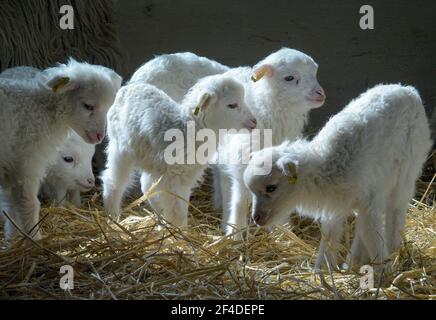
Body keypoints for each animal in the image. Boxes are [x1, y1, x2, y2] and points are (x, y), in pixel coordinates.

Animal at [0, 57, 122, 239]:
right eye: (88, 106)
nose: (100, 137)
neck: (43, 109)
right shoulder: (27, 163)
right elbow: (28, 204)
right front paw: (34, 239)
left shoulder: (11, 170)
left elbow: (10, 208)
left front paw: (12, 238)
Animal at [102, 74, 258, 225]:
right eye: (232, 105)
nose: (254, 122)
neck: (189, 129)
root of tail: (127, 88)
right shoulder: (173, 179)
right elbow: (176, 212)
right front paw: (178, 232)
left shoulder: (184, 178)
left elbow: (181, 209)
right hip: (120, 148)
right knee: (112, 181)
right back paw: (112, 217)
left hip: (152, 162)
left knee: (146, 186)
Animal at [244, 84, 430, 270]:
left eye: (271, 187)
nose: (256, 218)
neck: (328, 165)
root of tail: (408, 90)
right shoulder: (337, 205)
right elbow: (331, 234)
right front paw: (321, 270)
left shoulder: (370, 199)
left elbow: (371, 234)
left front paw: (384, 270)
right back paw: (354, 262)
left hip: (407, 168)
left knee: (395, 211)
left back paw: (393, 250)